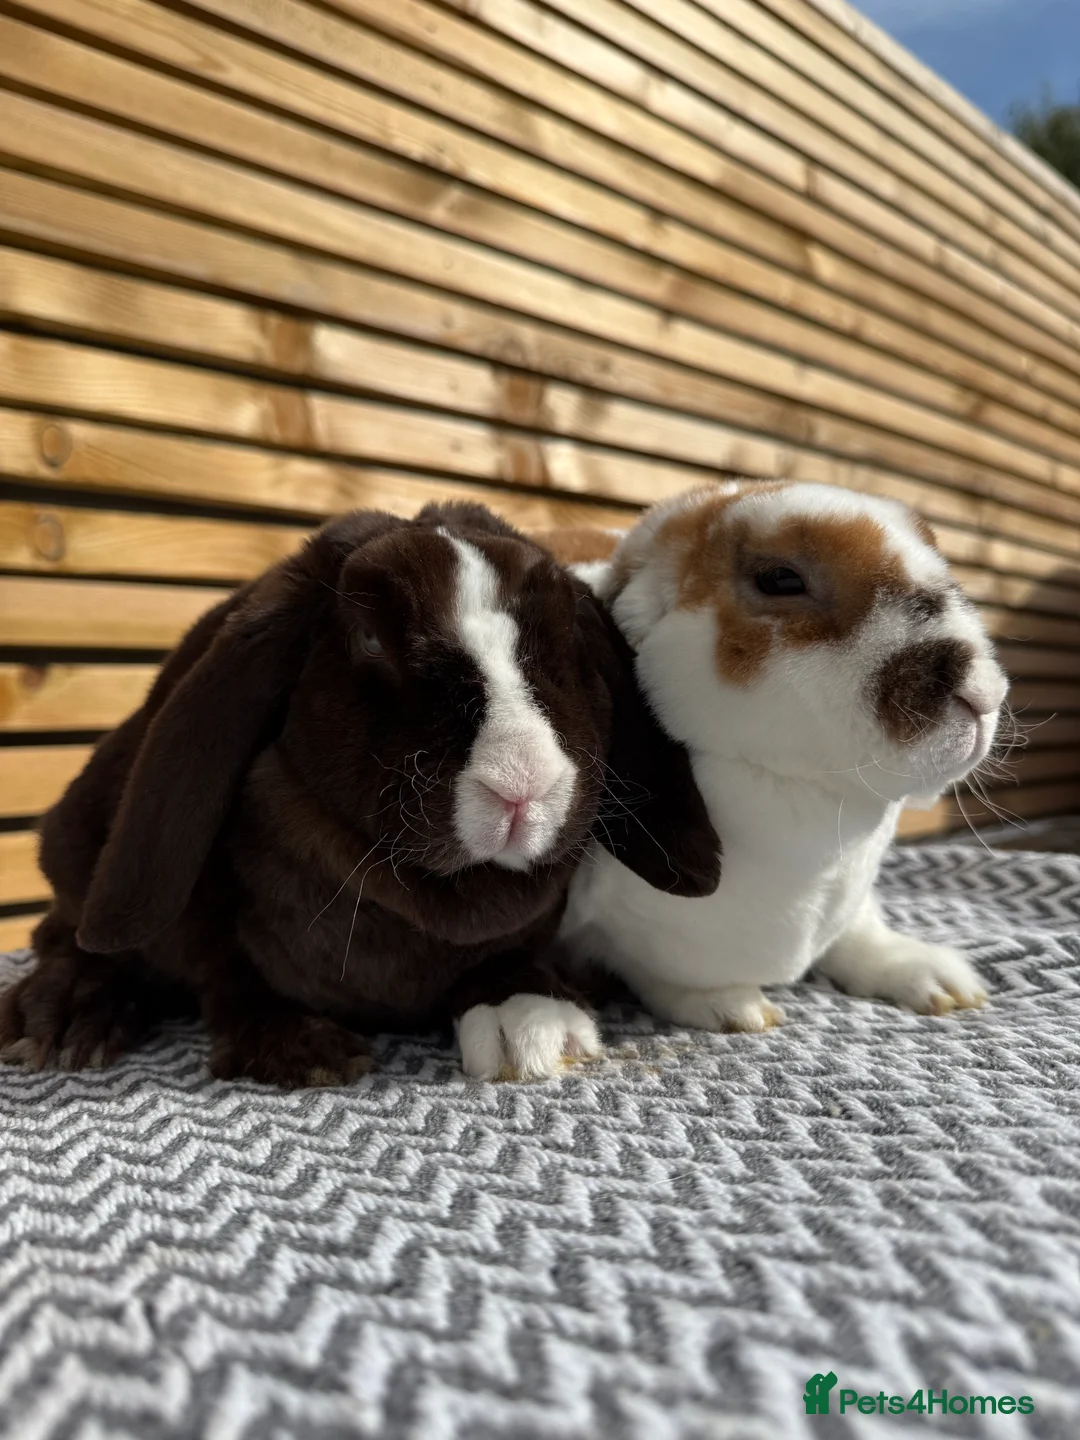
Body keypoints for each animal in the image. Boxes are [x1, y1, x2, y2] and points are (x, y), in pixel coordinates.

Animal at [0, 502, 720, 1087]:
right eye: (369, 639)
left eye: (571, 644)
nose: (522, 783)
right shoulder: (207, 918)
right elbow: (224, 968)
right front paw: (299, 1051)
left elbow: (513, 960)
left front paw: (533, 1028)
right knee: (63, 934)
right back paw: (62, 1021)